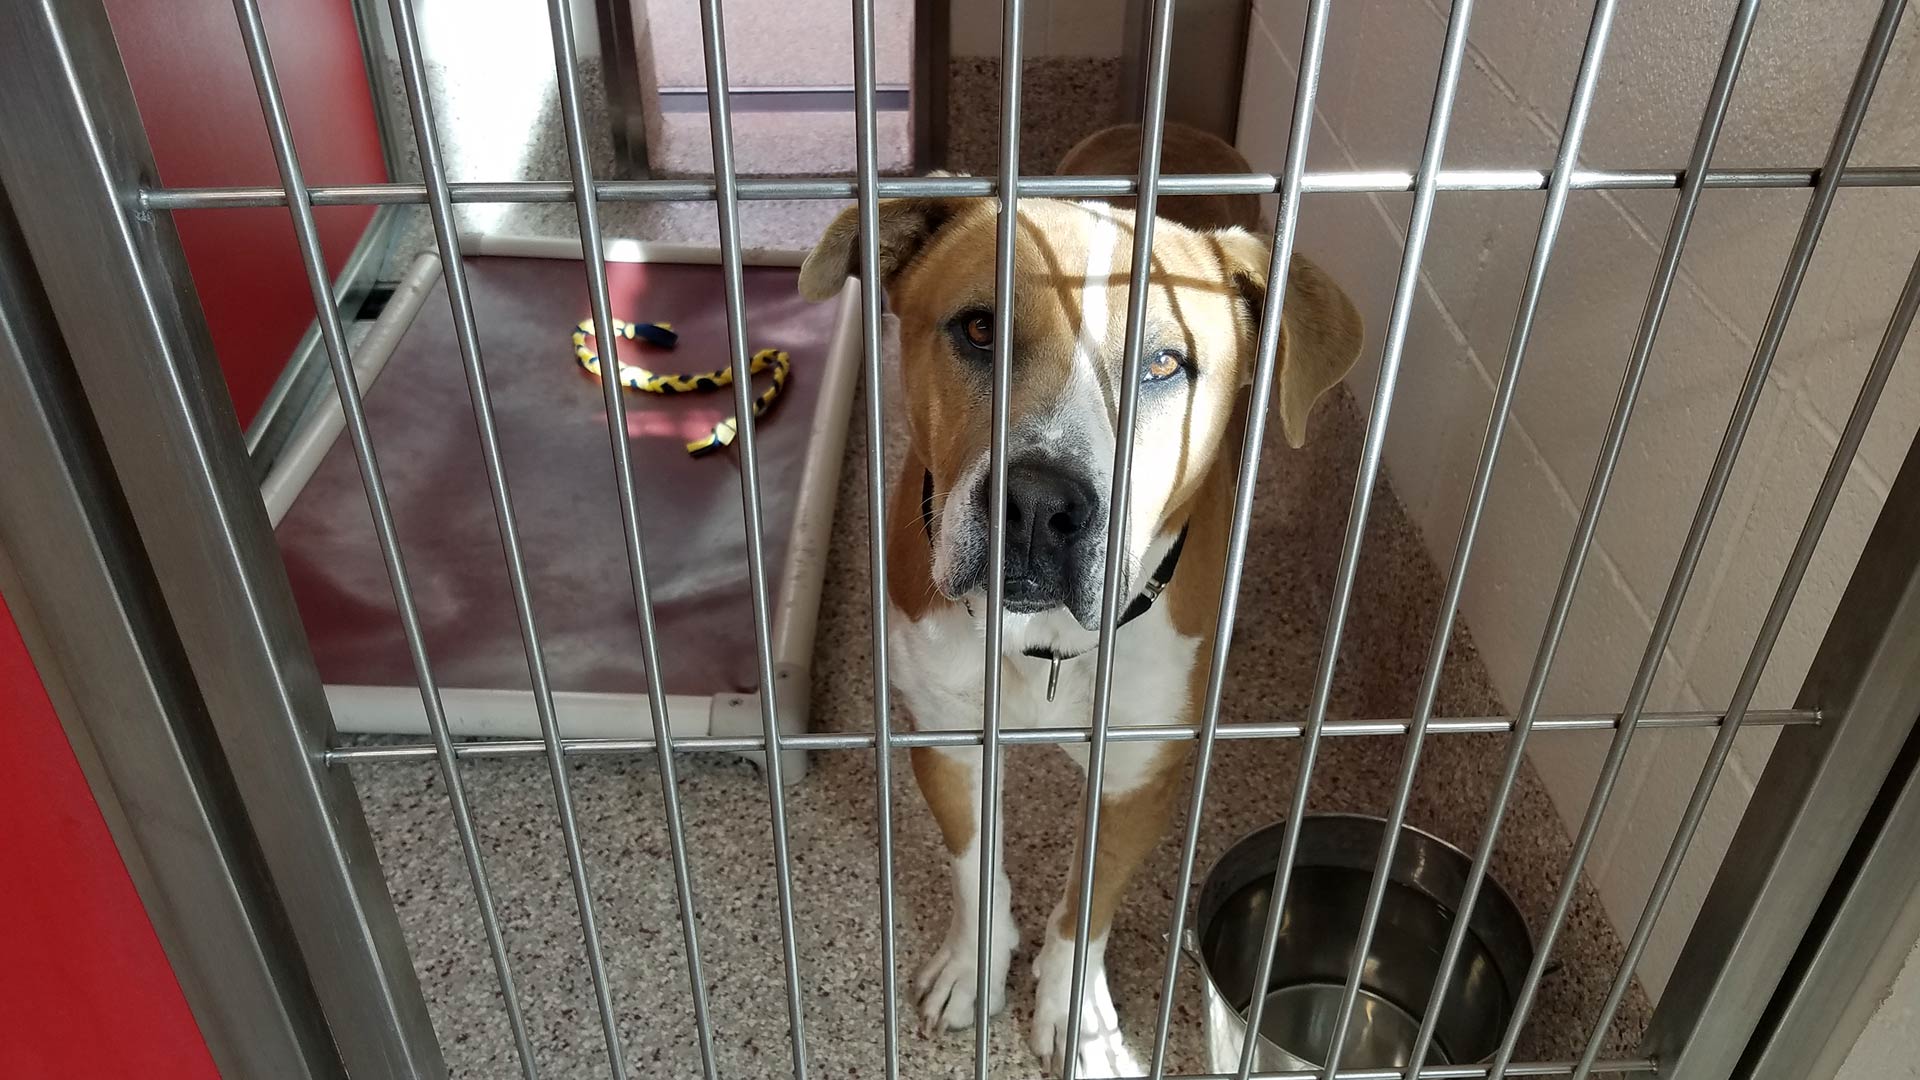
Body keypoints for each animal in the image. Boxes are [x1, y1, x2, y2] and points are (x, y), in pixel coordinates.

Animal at [798, 123, 1367, 1068]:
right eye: (979, 328)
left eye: (1165, 363)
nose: (1038, 502)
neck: (1051, 644)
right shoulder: (946, 736)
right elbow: (975, 870)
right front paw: (973, 971)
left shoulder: (1137, 776)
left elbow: (1089, 907)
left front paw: (1081, 1017)